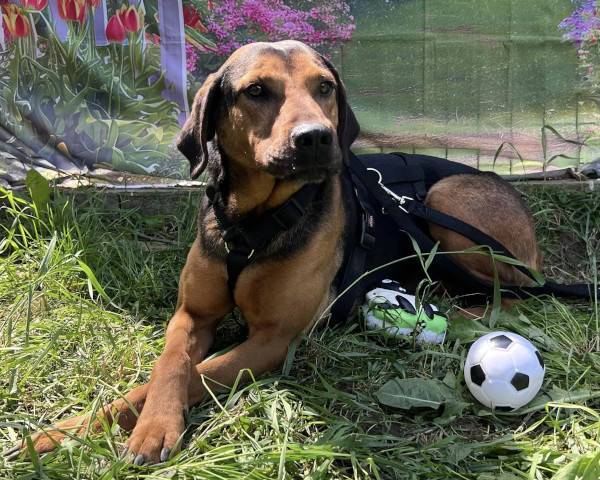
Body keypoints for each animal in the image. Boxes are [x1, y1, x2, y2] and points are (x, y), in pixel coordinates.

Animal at [11, 40, 541, 464]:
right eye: (256, 91)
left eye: (324, 87)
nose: (316, 137)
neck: (251, 223)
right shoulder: (191, 314)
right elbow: (168, 369)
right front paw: (69, 431)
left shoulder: (273, 338)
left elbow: (198, 375)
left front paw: (147, 429)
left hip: (447, 201)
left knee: (515, 291)